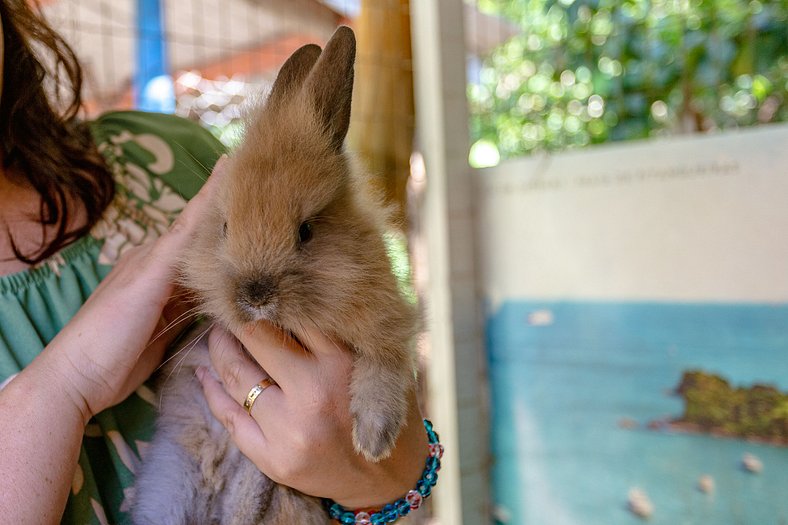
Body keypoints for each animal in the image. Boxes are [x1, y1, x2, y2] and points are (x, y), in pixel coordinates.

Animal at [132, 25, 422, 524]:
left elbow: (382, 365)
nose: (256, 295)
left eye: (305, 231)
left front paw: (373, 440)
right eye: (225, 227)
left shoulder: (387, 323)